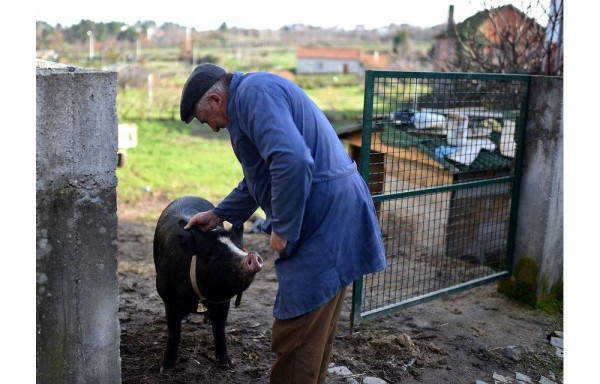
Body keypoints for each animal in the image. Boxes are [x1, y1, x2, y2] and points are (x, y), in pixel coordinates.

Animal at [152, 196, 262, 370]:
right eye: (216, 252)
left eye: (240, 246)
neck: (197, 296)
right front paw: (165, 368)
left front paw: (227, 364)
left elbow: (219, 330)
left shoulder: (223, 301)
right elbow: (174, 333)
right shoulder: (169, 299)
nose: (252, 255)